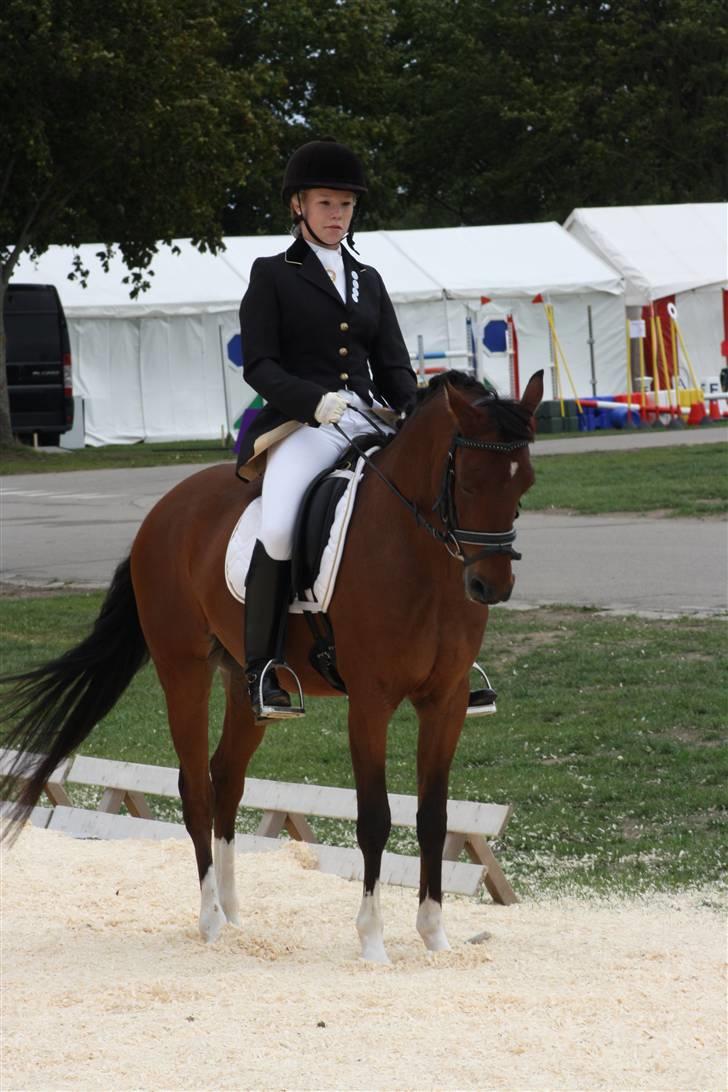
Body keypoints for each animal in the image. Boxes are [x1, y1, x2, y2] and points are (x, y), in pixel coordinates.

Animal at [1, 368, 543, 963]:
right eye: (466, 483)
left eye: (524, 485)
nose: (491, 586)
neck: (416, 555)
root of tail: (164, 510)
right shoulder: (370, 702)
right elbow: (375, 818)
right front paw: (372, 943)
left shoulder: (444, 702)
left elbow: (434, 816)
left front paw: (435, 937)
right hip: (183, 669)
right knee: (196, 787)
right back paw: (211, 922)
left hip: (245, 680)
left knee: (226, 778)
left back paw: (237, 919)